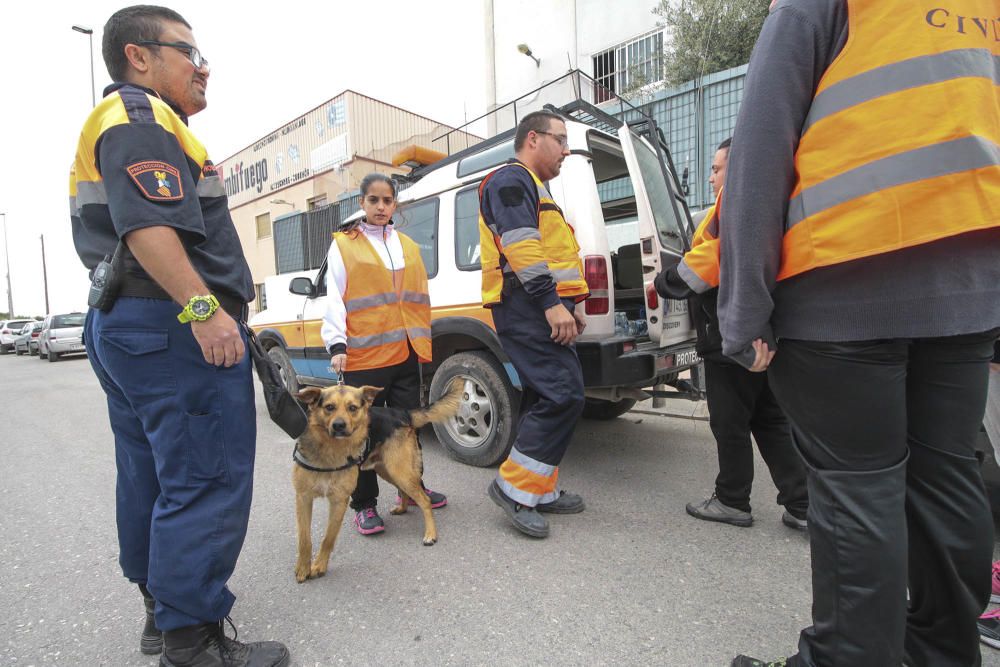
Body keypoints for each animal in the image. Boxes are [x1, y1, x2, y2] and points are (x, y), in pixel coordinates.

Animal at [288, 380, 462, 584]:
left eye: (352, 408)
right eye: (329, 407)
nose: (339, 426)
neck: (331, 450)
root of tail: (402, 413)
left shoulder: (339, 501)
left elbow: (328, 538)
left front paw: (319, 566)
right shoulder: (303, 498)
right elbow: (304, 539)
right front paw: (303, 568)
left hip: (399, 470)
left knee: (424, 500)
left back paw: (431, 534)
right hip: (388, 470)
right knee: (405, 491)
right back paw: (402, 508)